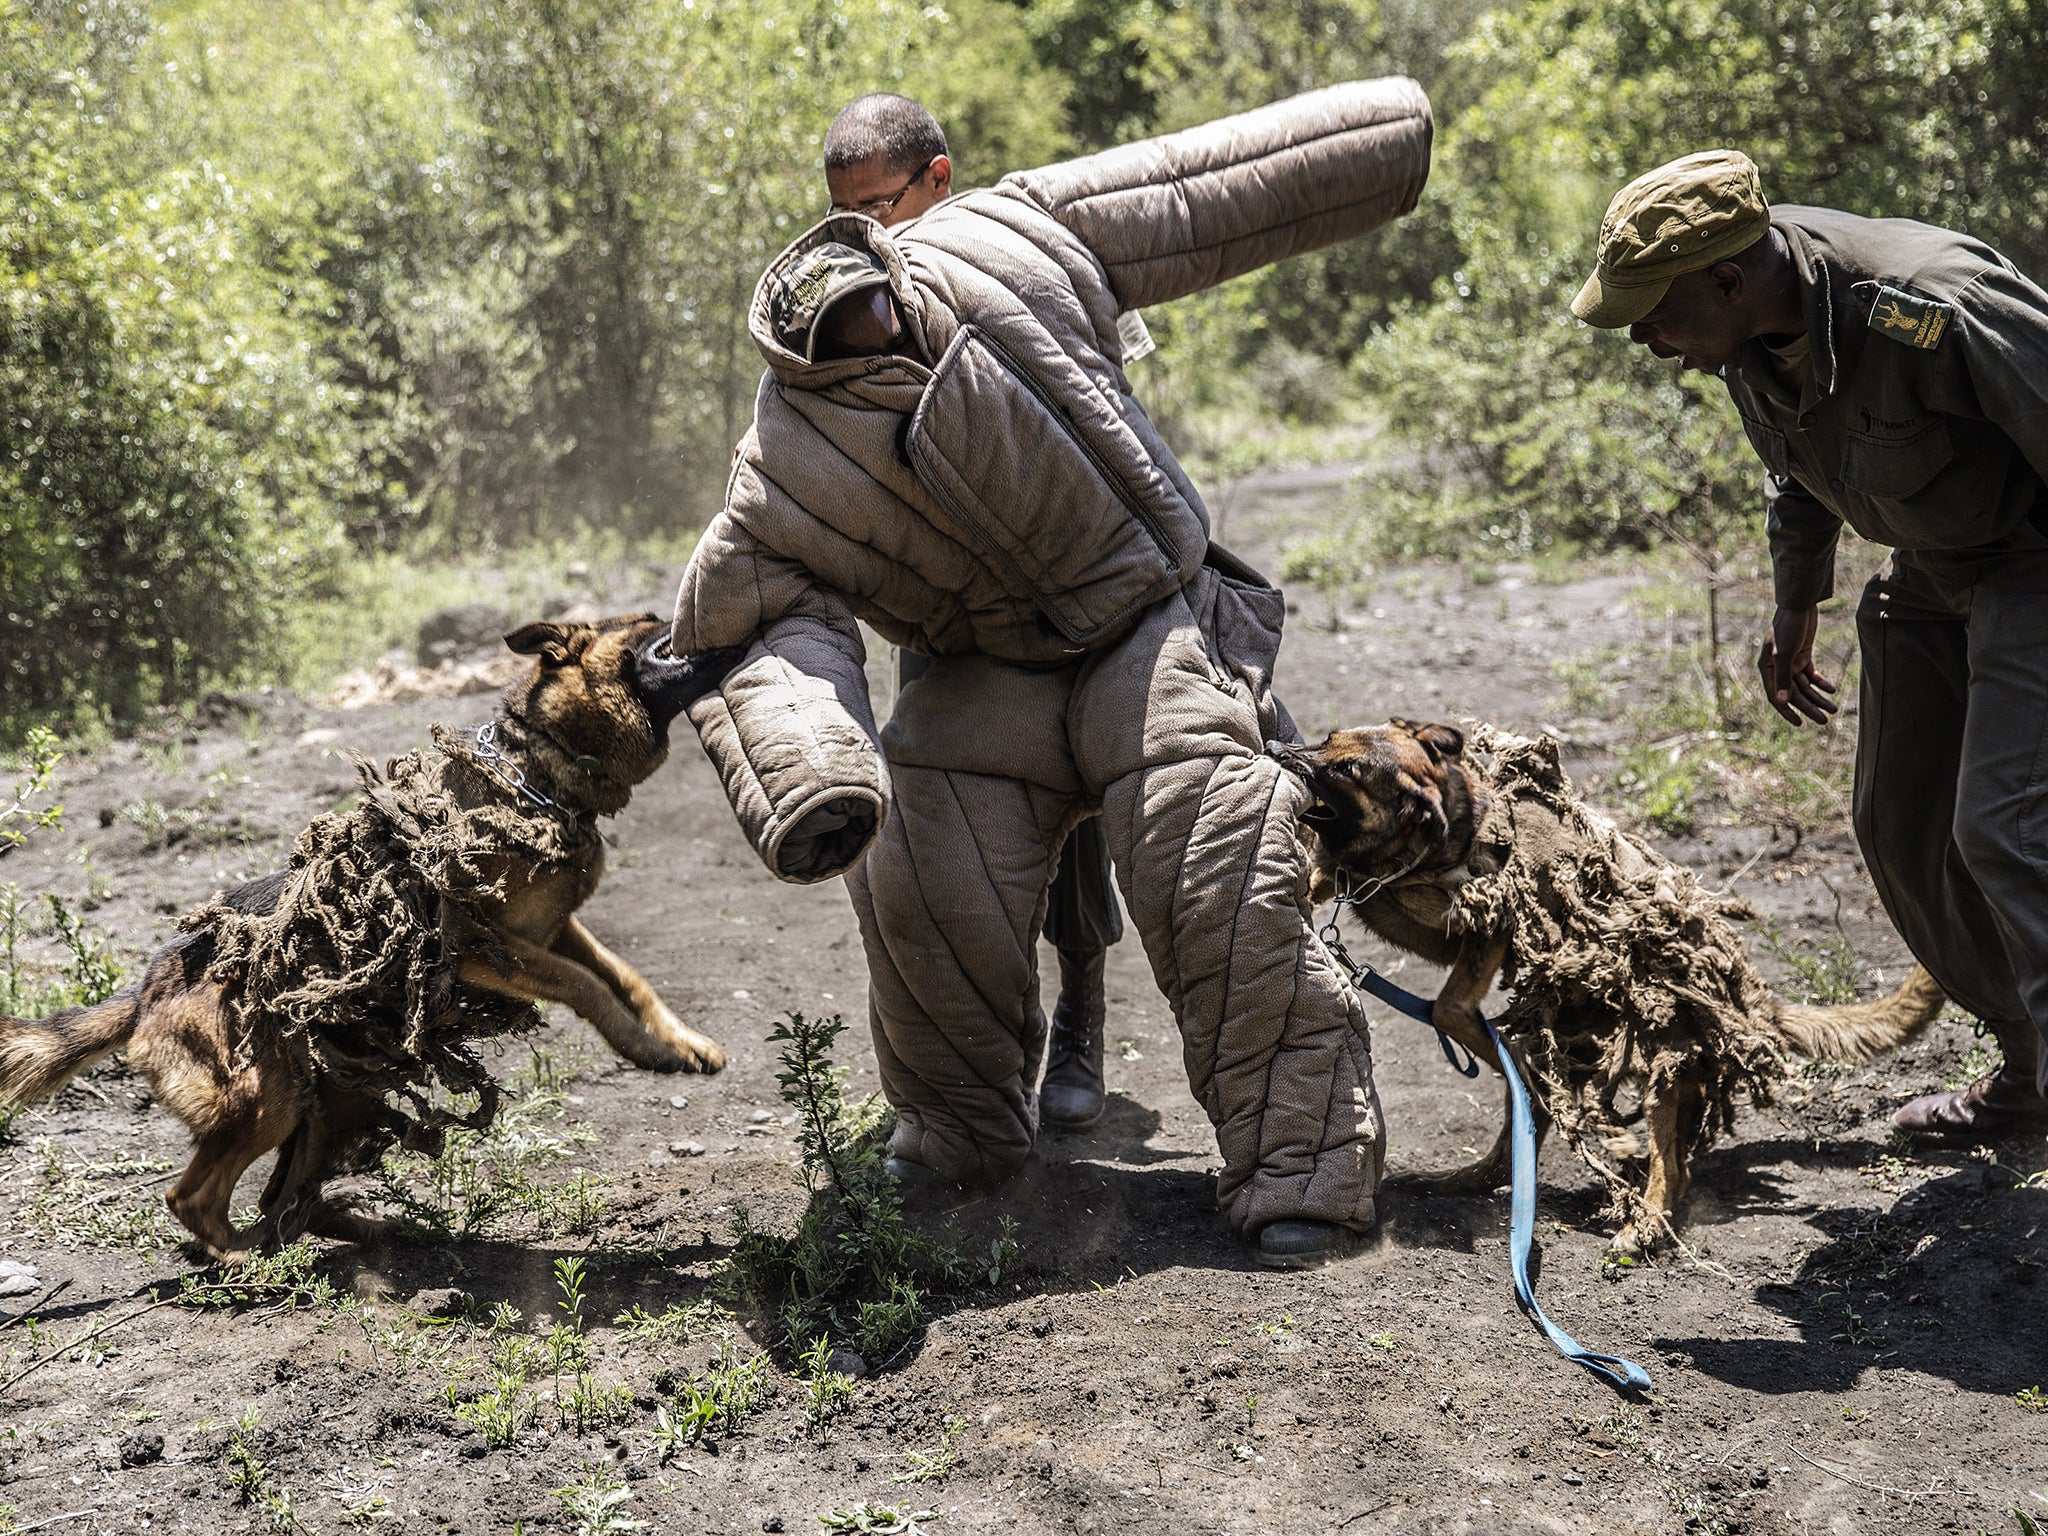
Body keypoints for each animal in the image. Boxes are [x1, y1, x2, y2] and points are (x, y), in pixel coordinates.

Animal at [0, 614, 737, 1261]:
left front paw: (676, 1042)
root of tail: (143, 994)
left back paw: (347, 1229)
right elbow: (585, 985)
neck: (540, 771)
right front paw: (643, 1046)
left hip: (326, 1101)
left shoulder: (561, 929)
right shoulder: (480, 946)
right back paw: (244, 1260)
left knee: (276, 1198)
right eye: (647, 621)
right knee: (192, 1198)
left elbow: (625, 978)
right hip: (265, 1101)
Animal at [1261, 720, 1949, 1253]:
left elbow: (1451, 1007)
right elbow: (1324, 872)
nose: (1278, 748)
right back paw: (1478, 1170)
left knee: (1668, 1163)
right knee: (1530, 1118)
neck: (1446, 829)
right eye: (1327, 741)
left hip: (1665, 1059)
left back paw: (1643, 1225)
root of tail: (1749, 1001)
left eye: (1348, 769)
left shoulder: (1488, 932)